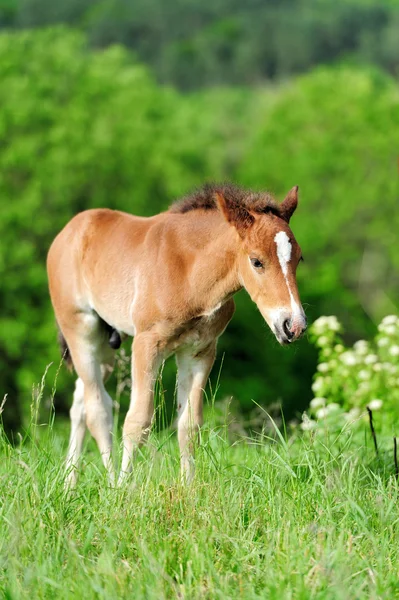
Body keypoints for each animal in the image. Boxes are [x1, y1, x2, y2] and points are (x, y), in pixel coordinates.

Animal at [48, 184, 308, 488]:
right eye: (256, 261)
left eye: (299, 258)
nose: (294, 325)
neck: (188, 271)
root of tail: (69, 231)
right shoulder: (147, 344)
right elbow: (137, 421)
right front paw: (125, 490)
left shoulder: (199, 352)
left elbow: (189, 425)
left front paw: (188, 488)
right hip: (80, 330)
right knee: (97, 409)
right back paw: (110, 483)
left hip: (107, 341)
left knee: (81, 402)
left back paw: (69, 485)